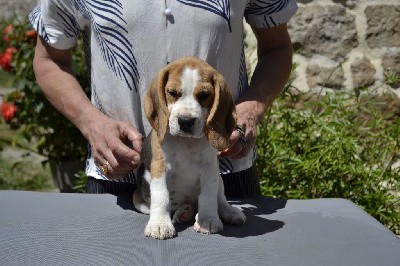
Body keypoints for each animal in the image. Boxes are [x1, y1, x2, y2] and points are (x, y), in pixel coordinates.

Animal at [134, 56, 245, 239]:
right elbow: (161, 196)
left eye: (204, 95)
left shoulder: (210, 169)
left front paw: (207, 220)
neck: (187, 142)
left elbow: (208, 196)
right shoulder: (160, 167)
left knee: (220, 198)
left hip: (219, 179)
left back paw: (228, 211)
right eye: (172, 93)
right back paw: (183, 212)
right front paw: (160, 224)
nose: (185, 121)